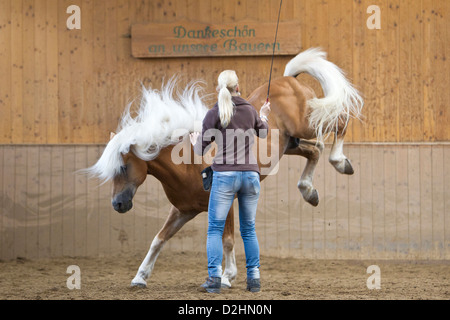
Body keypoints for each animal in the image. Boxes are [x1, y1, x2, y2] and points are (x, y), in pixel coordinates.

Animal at [84, 48, 362, 290]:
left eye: (123, 166)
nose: (118, 204)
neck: (189, 163)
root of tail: (288, 80)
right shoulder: (183, 210)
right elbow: (159, 239)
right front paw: (140, 277)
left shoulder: (225, 204)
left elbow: (227, 241)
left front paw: (227, 277)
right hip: (291, 143)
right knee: (315, 150)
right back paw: (309, 191)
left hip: (309, 123)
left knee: (341, 120)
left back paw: (341, 162)